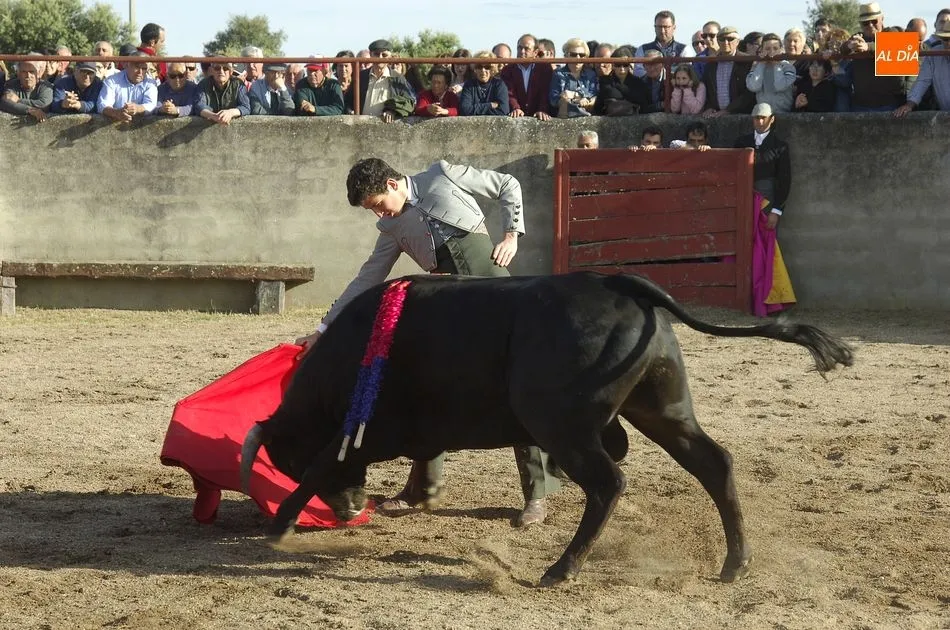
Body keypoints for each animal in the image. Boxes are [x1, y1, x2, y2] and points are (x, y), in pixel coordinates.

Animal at [241, 271, 853, 586]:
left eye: (287, 459)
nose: (349, 511)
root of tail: (620, 286)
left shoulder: (379, 428)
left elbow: (327, 460)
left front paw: (281, 525)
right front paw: (415, 496)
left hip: (561, 425)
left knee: (608, 483)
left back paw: (560, 569)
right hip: (663, 410)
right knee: (713, 463)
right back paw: (734, 565)